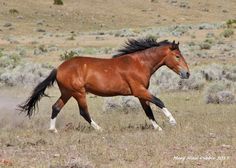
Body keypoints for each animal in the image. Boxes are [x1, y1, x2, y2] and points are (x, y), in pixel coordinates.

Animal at [19, 38, 191, 133]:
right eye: (177, 56)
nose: (187, 74)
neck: (139, 64)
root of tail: (59, 68)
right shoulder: (139, 91)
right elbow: (159, 102)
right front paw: (172, 121)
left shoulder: (142, 93)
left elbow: (148, 111)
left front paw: (158, 128)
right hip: (79, 93)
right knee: (83, 112)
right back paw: (100, 129)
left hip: (67, 93)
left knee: (55, 107)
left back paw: (53, 129)